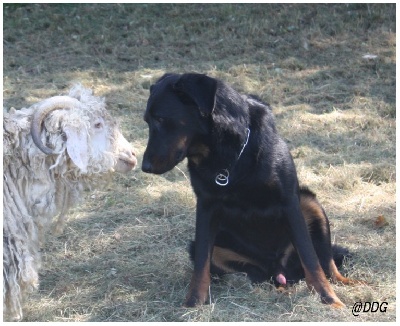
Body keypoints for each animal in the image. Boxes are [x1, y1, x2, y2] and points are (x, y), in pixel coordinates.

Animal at [143, 72, 362, 308]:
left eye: (161, 119)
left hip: (310, 203)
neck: (227, 156)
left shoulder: (289, 203)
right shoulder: (206, 207)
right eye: (147, 121)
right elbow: (201, 263)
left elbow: (311, 259)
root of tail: (277, 268)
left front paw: (329, 299)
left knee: (327, 262)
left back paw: (347, 282)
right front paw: (194, 302)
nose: (144, 167)